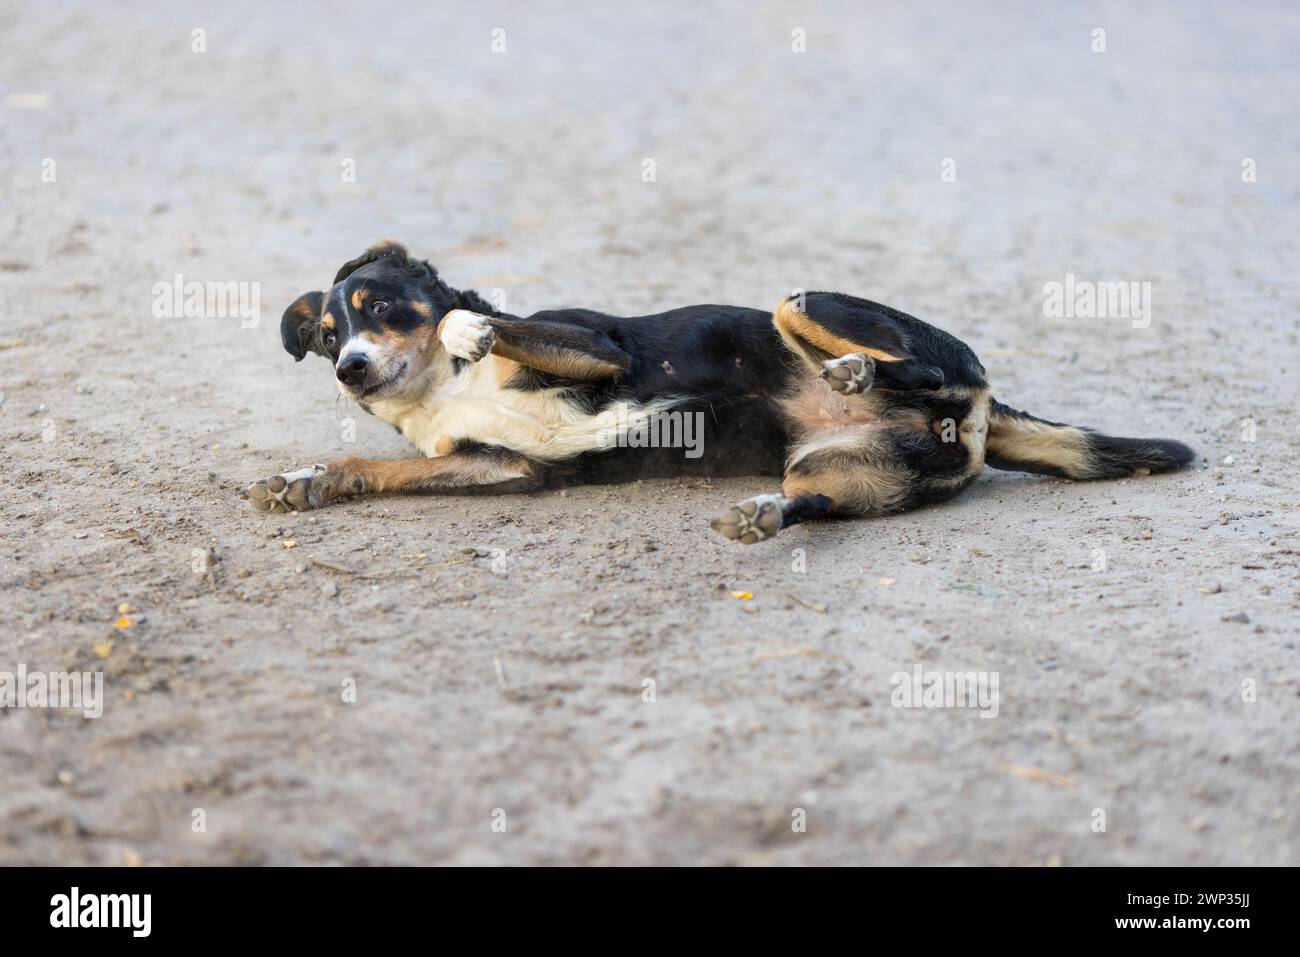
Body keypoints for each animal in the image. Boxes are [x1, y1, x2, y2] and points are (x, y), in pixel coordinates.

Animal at [245, 243, 1196, 546]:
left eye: (377, 307)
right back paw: (765, 512)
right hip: (847, 470)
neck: (441, 395)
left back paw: (862, 374)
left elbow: (477, 321)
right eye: (325, 334)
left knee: (909, 363)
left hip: (810, 304)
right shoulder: (500, 468)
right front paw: (309, 481)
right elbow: (376, 469)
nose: (348, 367)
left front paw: (464, 327)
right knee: (815, 502)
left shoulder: (595, 351)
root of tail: (978, 421)